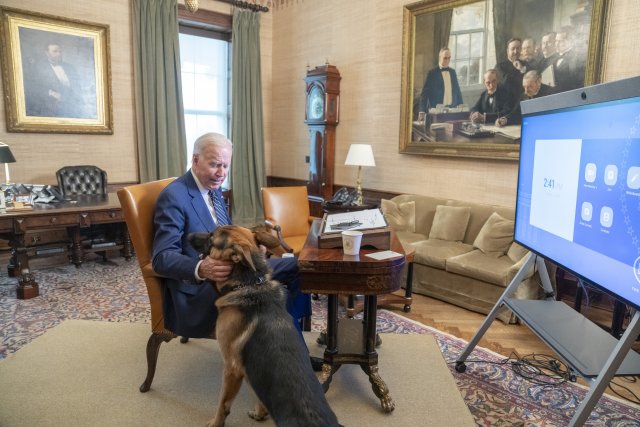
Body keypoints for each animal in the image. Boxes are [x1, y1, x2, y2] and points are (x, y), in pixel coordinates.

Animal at [189, 224, 342, 427]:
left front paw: (216, 423)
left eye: (211, 238)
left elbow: (223, 403)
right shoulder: (249, 369)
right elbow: (258, 393)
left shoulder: (231, 368)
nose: (188, 236)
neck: (250, 283)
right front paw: (260, 413)